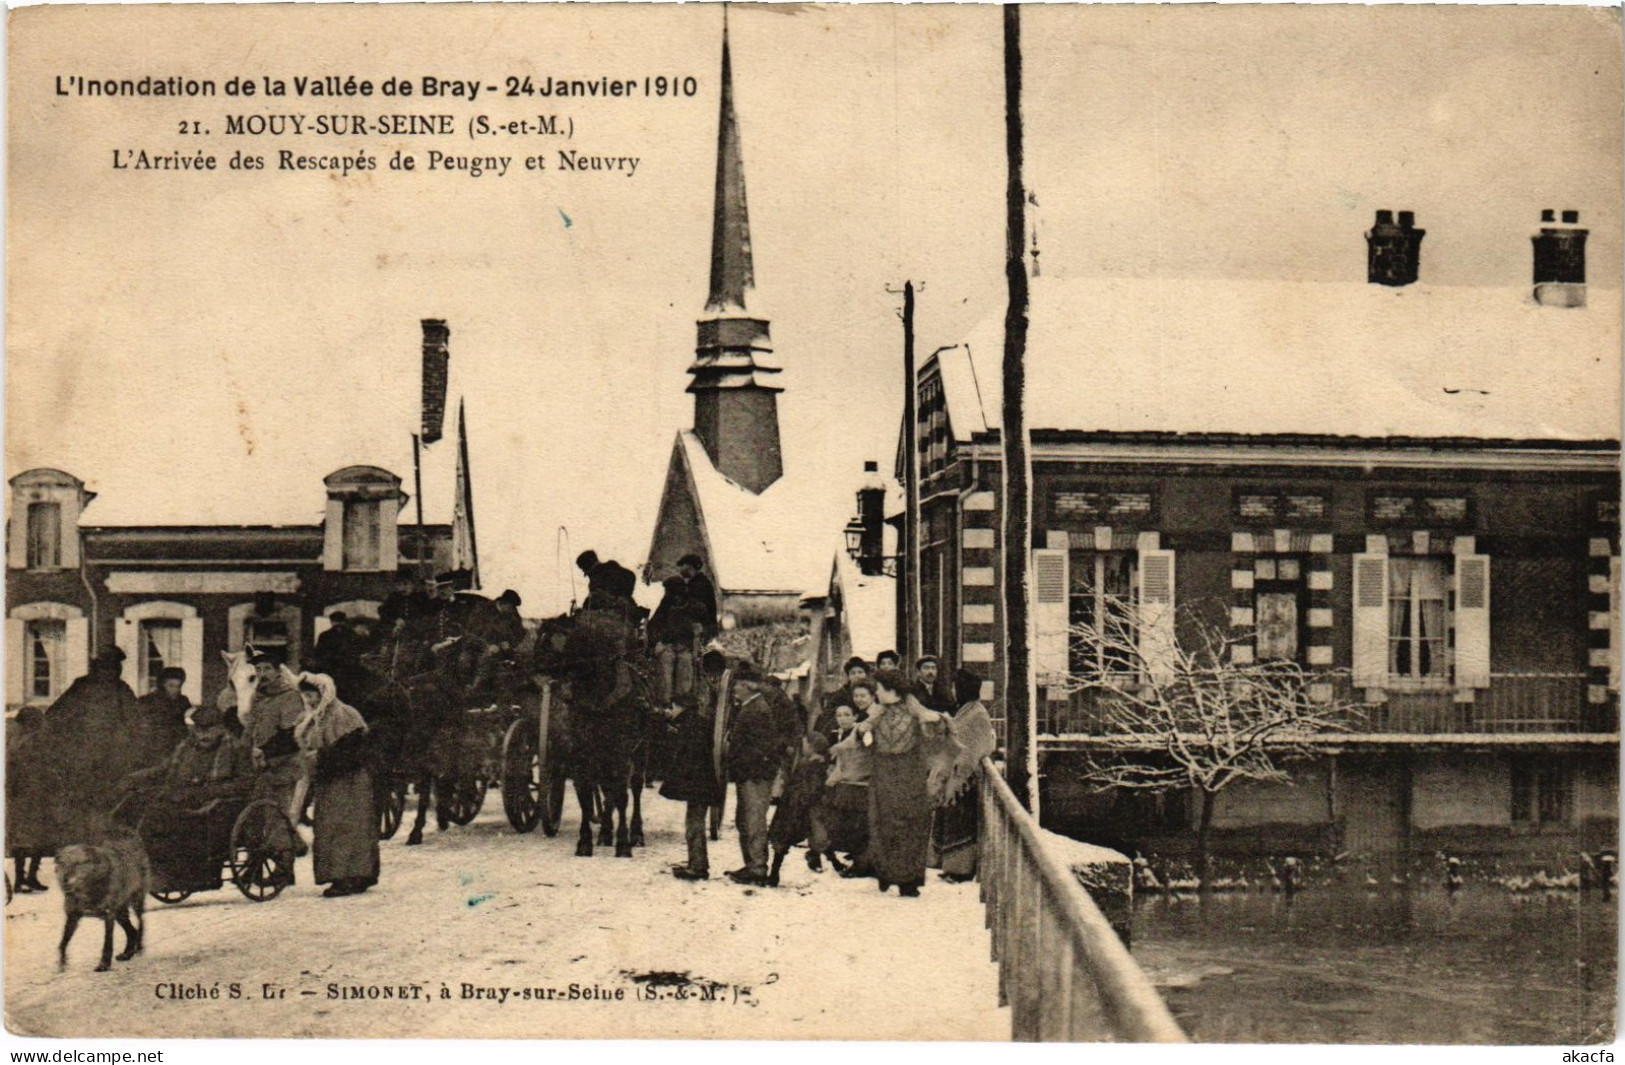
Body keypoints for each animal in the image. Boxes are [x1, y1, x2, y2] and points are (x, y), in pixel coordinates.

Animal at [55, 838, 149, 975]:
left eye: (78, 863)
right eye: (62, 863)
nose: (64, 879)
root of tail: (134, 844)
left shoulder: (108, 915)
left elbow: (107, 942)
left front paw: (104, 964)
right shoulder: (72, 916)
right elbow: (63, 942)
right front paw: (61, 963)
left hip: (135, 902)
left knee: (141, 924)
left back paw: (139, 947)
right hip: (120, 913)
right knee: (132, 931)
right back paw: (127, 954)